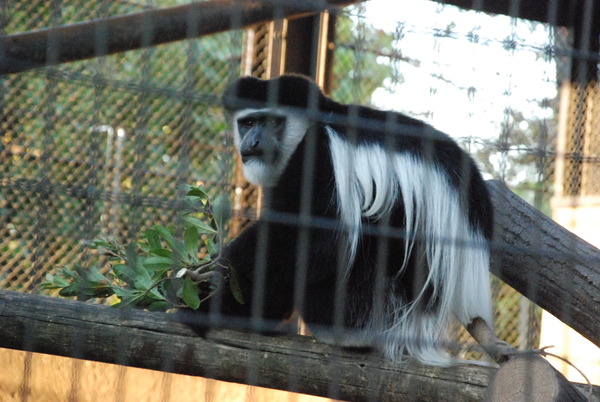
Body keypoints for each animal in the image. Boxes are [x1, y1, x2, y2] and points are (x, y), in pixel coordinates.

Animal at [211, 74, 492, 366]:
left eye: (273, 122)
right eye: (248, 123)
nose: (252, 143)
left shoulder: (320, 153)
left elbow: (320, 237)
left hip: (360, 305)